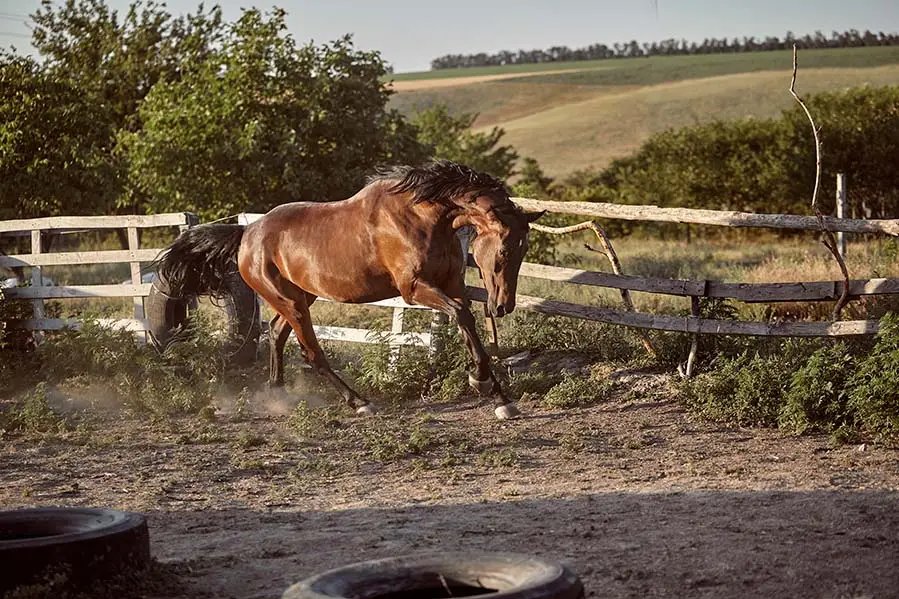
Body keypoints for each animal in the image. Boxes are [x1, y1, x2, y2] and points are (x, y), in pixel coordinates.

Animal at [153, 160, 544, 419]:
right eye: (505, 251)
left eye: (524, 250)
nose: (503, 305)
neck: (422, 217)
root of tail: (247, 234)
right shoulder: (414, 289)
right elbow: (462, 315)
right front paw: (485, 386)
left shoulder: (451, 285)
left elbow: (467, 325)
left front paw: (497, 395)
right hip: (291, 302)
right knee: (311, 353)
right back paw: (359, 402)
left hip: (299, 297)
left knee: (277, 334)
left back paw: (277, 395)